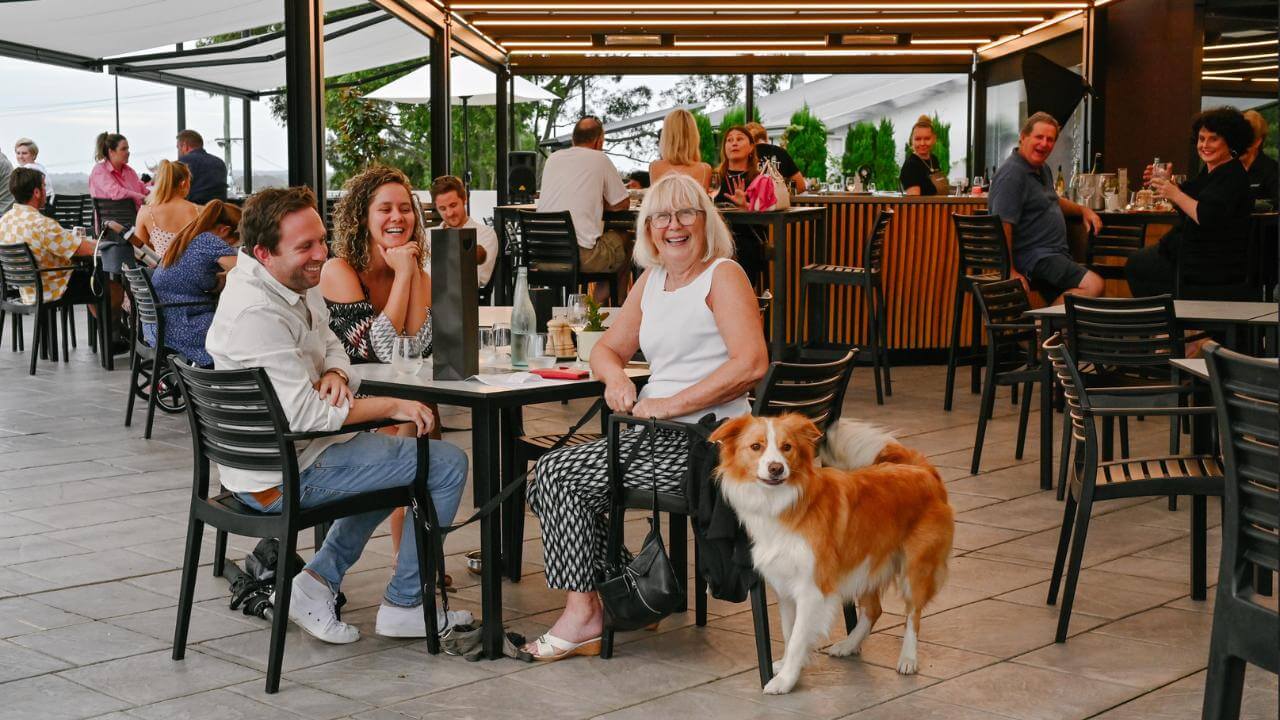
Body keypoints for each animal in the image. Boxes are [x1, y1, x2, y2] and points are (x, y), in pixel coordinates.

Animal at [711, 412, 952, 691]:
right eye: (756, 446)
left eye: (787, 447)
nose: (776, 468)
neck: (789, 503)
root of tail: (921, 468)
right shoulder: (785, 587)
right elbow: (789, 632)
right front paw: (789, 666)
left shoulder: (811, 589)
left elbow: (798, 637)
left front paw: (785, 681)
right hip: (866, 564)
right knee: (873, 610)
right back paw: (849, 645)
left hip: (915, 569)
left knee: (913, 614)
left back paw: (908, 659)